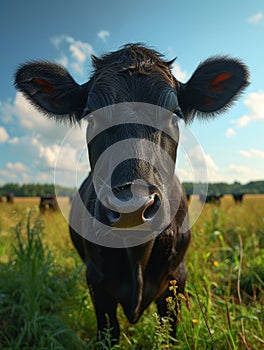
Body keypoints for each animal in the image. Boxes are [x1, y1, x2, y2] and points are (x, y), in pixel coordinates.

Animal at [14, 43, 250, 344]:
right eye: (92, 116)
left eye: (174, 114)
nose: (132, 205)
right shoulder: (97, 283)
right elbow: (109, 333)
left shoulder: (177, 279)